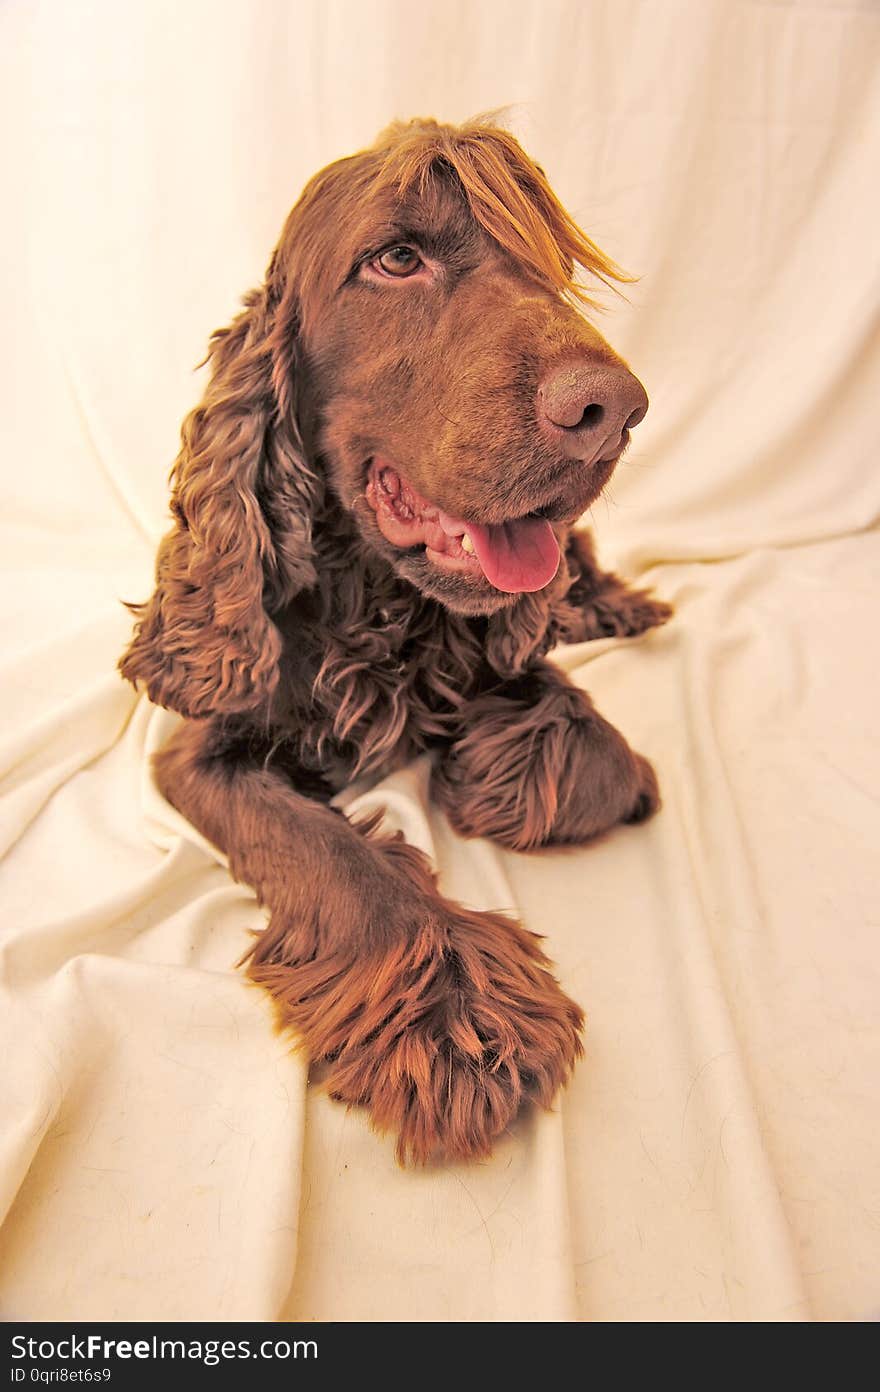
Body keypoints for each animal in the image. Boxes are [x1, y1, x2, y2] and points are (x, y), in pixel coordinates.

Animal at [120, 116, 671, 1163]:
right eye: (396, 259)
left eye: (546, 267)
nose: (612, 412)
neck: (374, 599)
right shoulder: (199, 746)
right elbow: (329, 852)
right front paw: (453, 1009)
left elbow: (594, 749)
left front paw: (491, 768)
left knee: (580, 574)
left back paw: (624, 609)